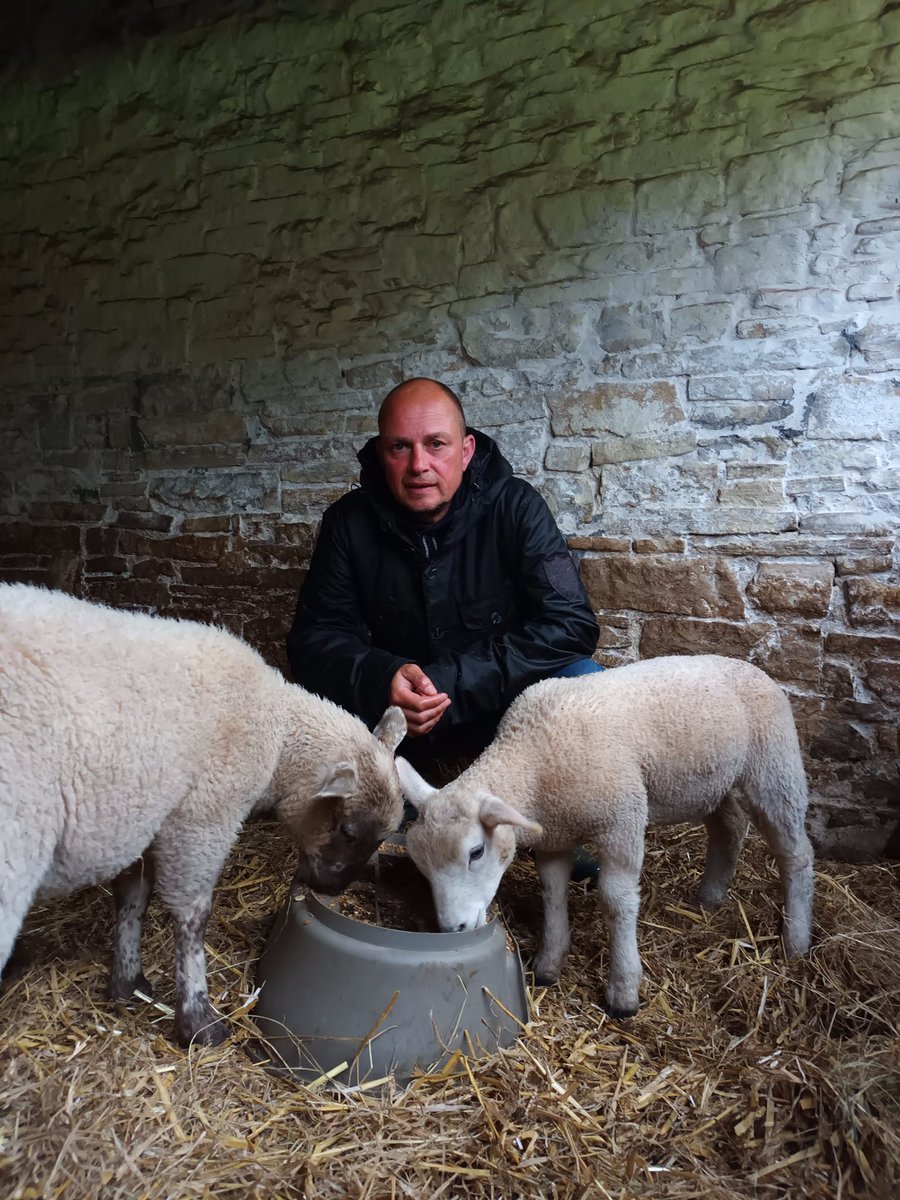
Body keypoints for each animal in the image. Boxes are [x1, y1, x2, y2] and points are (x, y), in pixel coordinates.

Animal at [0, 583, 407, 1045]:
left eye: (383, 835)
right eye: (347, 829)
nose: (332, 888)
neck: (278, 732)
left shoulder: (152, 815)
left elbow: (131, 899)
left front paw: (128, 981)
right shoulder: (202, 819)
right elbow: (192, 917)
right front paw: (198, 1018)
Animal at [399, 654, 814, 1018]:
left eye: (476, 852)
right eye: (421, 865)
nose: (453, 929)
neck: (534, 758)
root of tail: (753, 668)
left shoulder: (622, 819)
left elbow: (617, 900)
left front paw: (624, 991)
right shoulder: (555, 836)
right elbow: (552, 893)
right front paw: (548, 964)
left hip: (773, 765)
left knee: (796, 852)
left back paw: (796, 940)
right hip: (710, 781)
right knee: (730, 827)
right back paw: (710, 897)